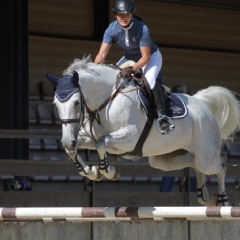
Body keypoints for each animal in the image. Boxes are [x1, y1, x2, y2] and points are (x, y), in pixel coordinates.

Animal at [45, 56, 240, 206]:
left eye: (77, 102)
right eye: (55, 104)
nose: (68, 140)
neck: (106, 99)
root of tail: (202, 104)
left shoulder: (129, 137)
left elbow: (103, 142)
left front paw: (109, 171)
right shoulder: (89, 138)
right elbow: (75, 149)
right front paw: (90, 171)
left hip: (206, 156)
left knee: (220, 166)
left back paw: (222, 200)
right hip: (164, 159)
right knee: (194, 164)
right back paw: (205, 196)